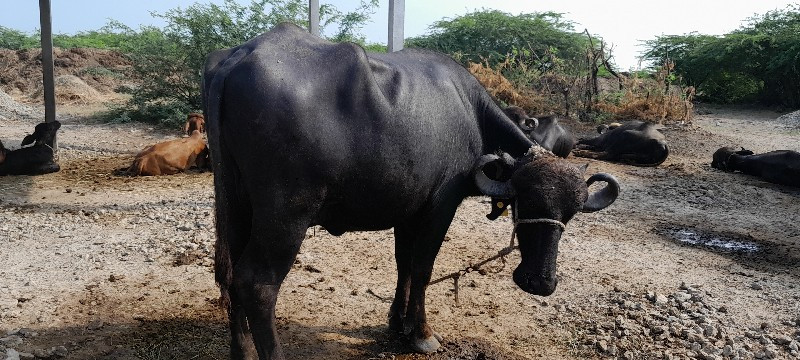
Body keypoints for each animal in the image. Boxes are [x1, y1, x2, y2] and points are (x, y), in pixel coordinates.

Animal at [202, 23, 620, 360]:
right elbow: (422, 267)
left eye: (571, 213)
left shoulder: (407, 211)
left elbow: (403, 263)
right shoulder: (440, 207)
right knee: (256, 283)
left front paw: (396, 323)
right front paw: (421, 332)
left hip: (235, 201)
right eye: (527, 201)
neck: (470, 112)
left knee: (229, 271)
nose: (540, 282)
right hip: (287, 212)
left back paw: (240, 351)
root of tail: (237, 59)